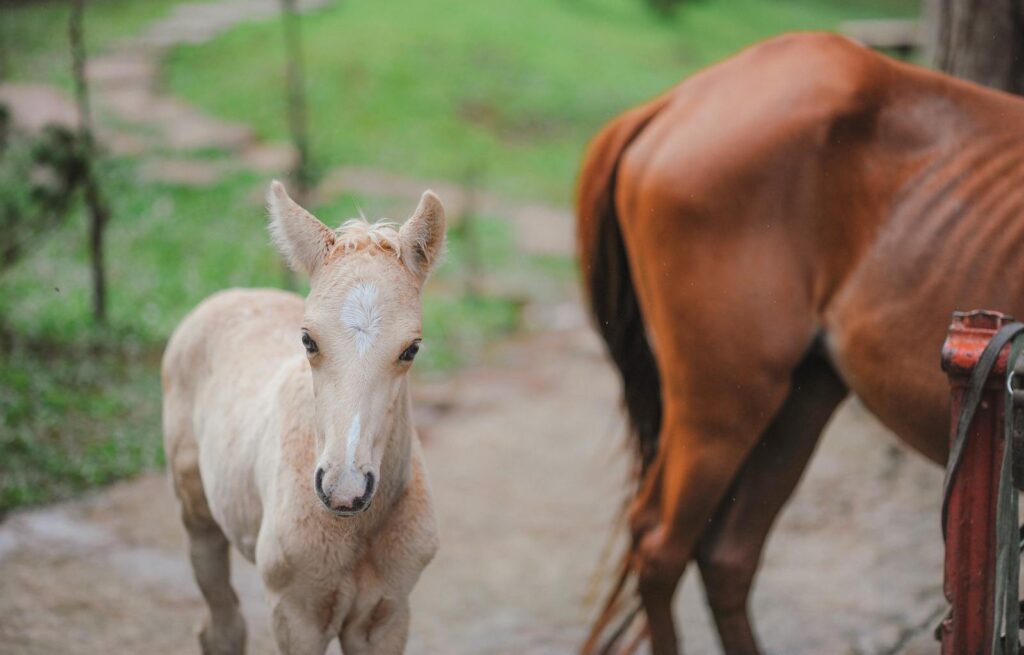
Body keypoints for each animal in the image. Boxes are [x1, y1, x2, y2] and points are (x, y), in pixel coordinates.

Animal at [162, 181, 443, 655]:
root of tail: (237, 293)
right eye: (308, 340)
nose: (344, 491)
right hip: (196, 510)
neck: (355, 530)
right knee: (222, 622)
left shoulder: (387, 615)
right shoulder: (296, 615)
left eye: (412, 349)